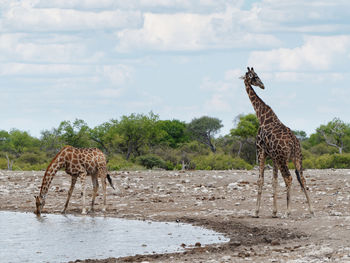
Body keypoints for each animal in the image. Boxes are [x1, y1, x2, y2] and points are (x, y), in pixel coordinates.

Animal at [241, 68, 314, 219]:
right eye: (255, 77)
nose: (262, 85)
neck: (262, 117)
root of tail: (294, 142)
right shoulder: (273, 157)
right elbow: (274, 181)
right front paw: (274, 212)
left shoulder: (260, 150)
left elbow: (260, 180)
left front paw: (256, 212)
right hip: (297, 157)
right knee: (302, 178)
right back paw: (311, 209)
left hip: (283, 158)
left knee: (289, 178)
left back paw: (288, 211)